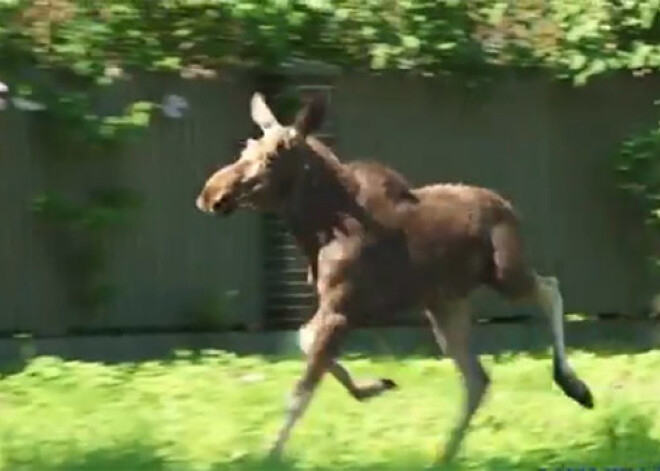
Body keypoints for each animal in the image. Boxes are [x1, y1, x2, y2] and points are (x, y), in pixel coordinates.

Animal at [195, 92, 592, 464]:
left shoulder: (342, 307)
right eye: (246, 148)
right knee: (478, 378)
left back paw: (574, 385)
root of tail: (510, 209)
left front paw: (269, 454)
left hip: (505, 275)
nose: (212, 194)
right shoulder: (338, 307)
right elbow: (303, 341)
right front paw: (374, 386)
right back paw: (445, 455)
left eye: (272, 157)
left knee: (550, 289)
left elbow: (300, 390)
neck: (317, 229)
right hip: (445, 305)